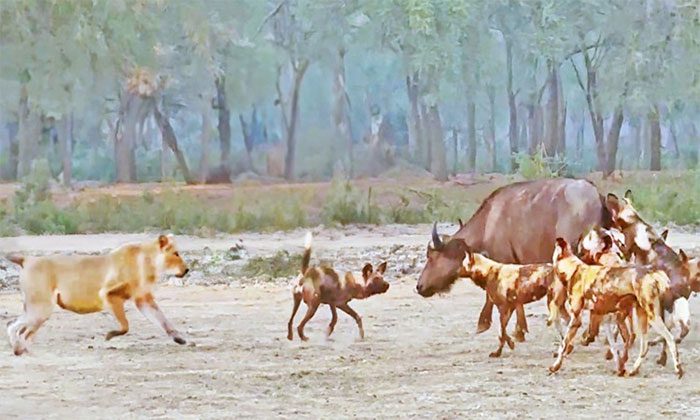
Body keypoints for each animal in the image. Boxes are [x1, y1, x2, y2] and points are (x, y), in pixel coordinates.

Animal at [4, 235, 189, 356]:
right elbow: (125, 325)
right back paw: (18, 349)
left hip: (38, 312)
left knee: (23, 331)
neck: (148, 262)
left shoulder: (143, 300)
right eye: (176, 253)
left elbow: (163, 320)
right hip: (40, 309)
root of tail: (27, 259)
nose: (187, 270)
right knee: (12, 326)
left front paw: (179, 338)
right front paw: (109, 335)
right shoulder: (109, 295)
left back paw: (23, 349)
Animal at [412, 223, 568, 358]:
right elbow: (503, 332)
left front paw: (501, 349)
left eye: (431, 258)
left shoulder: (504, 308)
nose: (419, 286)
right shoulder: (508, 307)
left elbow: (501, 332)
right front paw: (508, 344)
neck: (489, 271)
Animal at [418, 178, 608, 342]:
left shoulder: (503, 264)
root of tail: (596, 195)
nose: (419, 286)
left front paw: (490, 325)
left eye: (431, 257)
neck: (488, 222)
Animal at [548, 238, 680, 378]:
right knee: (644, 346)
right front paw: (620, 368)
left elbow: (563, 344)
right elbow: (614, 348)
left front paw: (555, 366)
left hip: (652, 317)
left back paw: (678, 370)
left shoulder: (576, 320)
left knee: (670, 339)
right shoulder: (604, 319)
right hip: (641, 318)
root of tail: (652, 274)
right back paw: (633, 370)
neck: (574, 270)